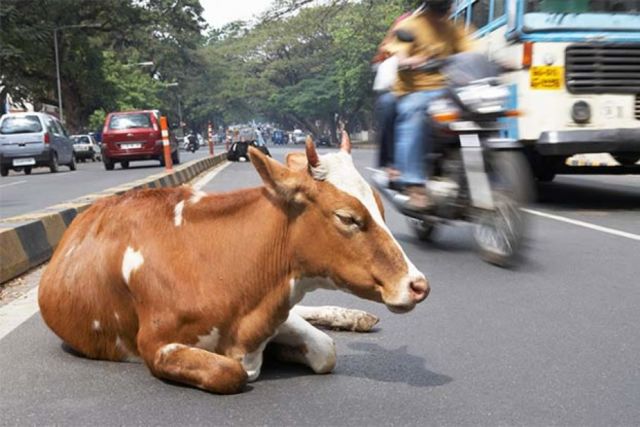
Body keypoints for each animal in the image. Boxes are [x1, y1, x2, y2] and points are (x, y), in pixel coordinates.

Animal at [40, 135, 430, 396]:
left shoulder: (272, 310)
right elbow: (229, 373)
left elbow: (325, 351)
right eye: (347, 218)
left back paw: (352, 317)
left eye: (381, 210)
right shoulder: (156, 345)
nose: (418, 285)